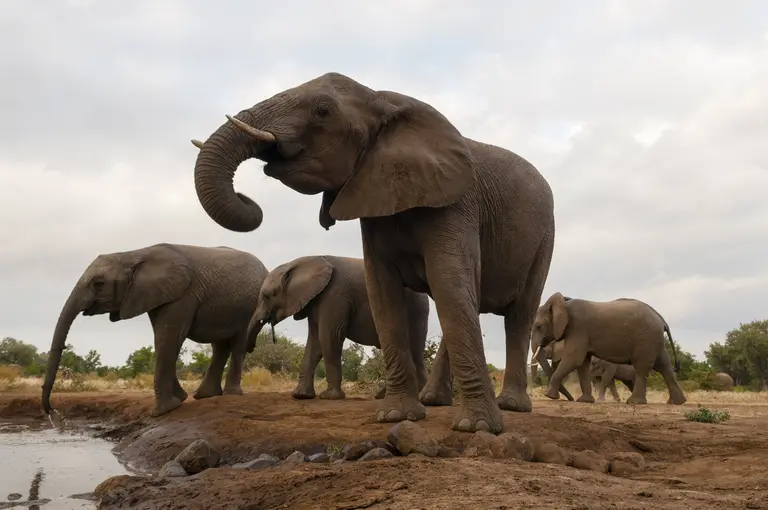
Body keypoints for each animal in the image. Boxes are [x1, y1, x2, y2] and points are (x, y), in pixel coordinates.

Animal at [41, 243, 269, 417]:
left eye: (99, 284)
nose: (52, 411)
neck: (134, 254)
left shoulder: (183, 294)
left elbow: (168, 337)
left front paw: (164, 411)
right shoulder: (154, 295)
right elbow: (164, 339)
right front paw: (180, 399)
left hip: (251, 306)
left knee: (238, 343)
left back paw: (231, 394)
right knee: (219, 346)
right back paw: (205, 396)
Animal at [247, 255, 430, 400]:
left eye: (266, 296)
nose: (251, 348)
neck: (299, 262)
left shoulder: (334, 295)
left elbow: (329, 337)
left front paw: (329, 397)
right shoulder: (315, 301)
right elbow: (314, 343)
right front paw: (300, 396)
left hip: (415, 311)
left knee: (413, 350)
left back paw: (418, 395)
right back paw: (385, 396)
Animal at [530, 292, 687, 405]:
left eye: (538, 326)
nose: (570, 399)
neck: (564, 304)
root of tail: (661, 319)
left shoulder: (578, 329)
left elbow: (574, 359)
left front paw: (549, 396)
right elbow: (582, 363)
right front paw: (585, 401)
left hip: (645, 339)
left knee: (642, 368)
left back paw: (634, 402)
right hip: (654, 341)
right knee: (664, 366)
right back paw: (677, 402)